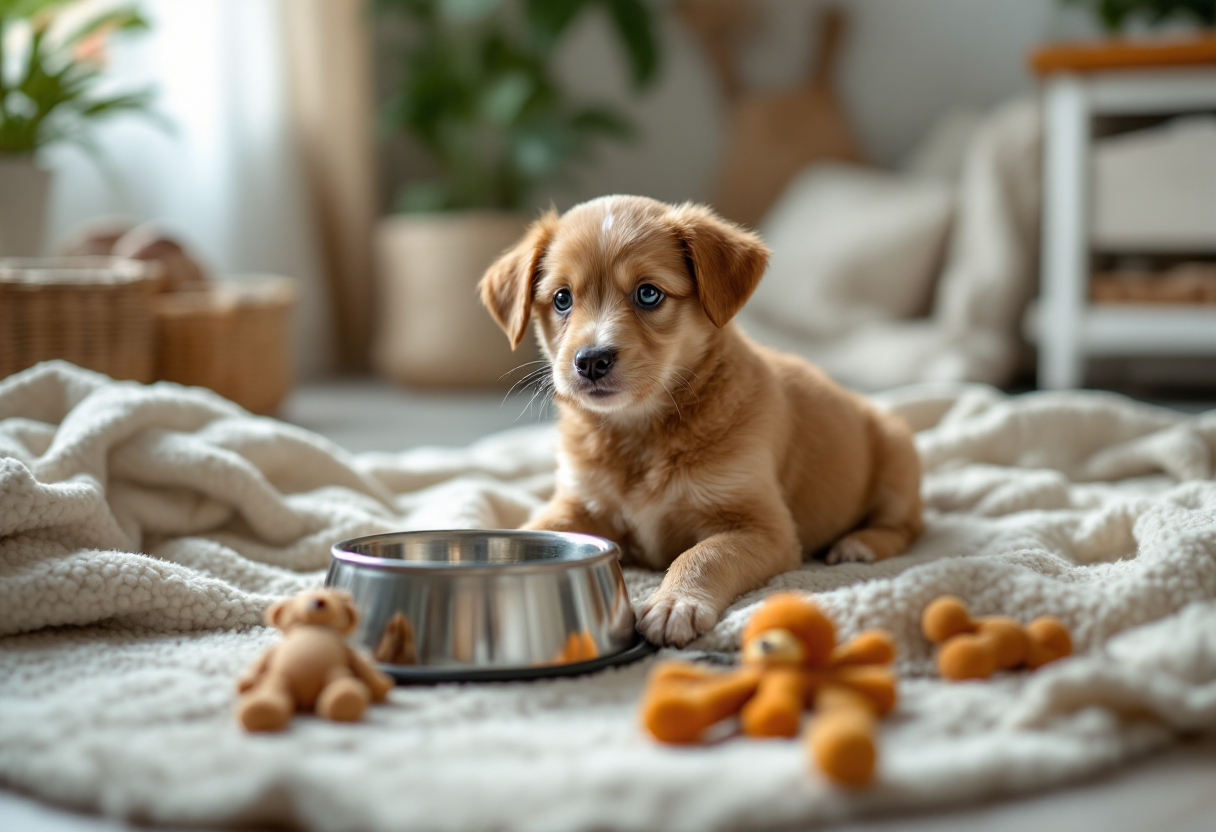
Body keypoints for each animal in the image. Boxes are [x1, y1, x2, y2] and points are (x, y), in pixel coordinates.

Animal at [474, 197, 919, 651]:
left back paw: (859, 544)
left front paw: (675, 603)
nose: (591, 361)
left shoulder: (762, 527)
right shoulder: (578, 502)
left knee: (906, 527)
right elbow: (538, 528)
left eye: (648, 293)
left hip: (898, 456)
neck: (641, 433)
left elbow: (705, 555)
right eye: (562, 298)